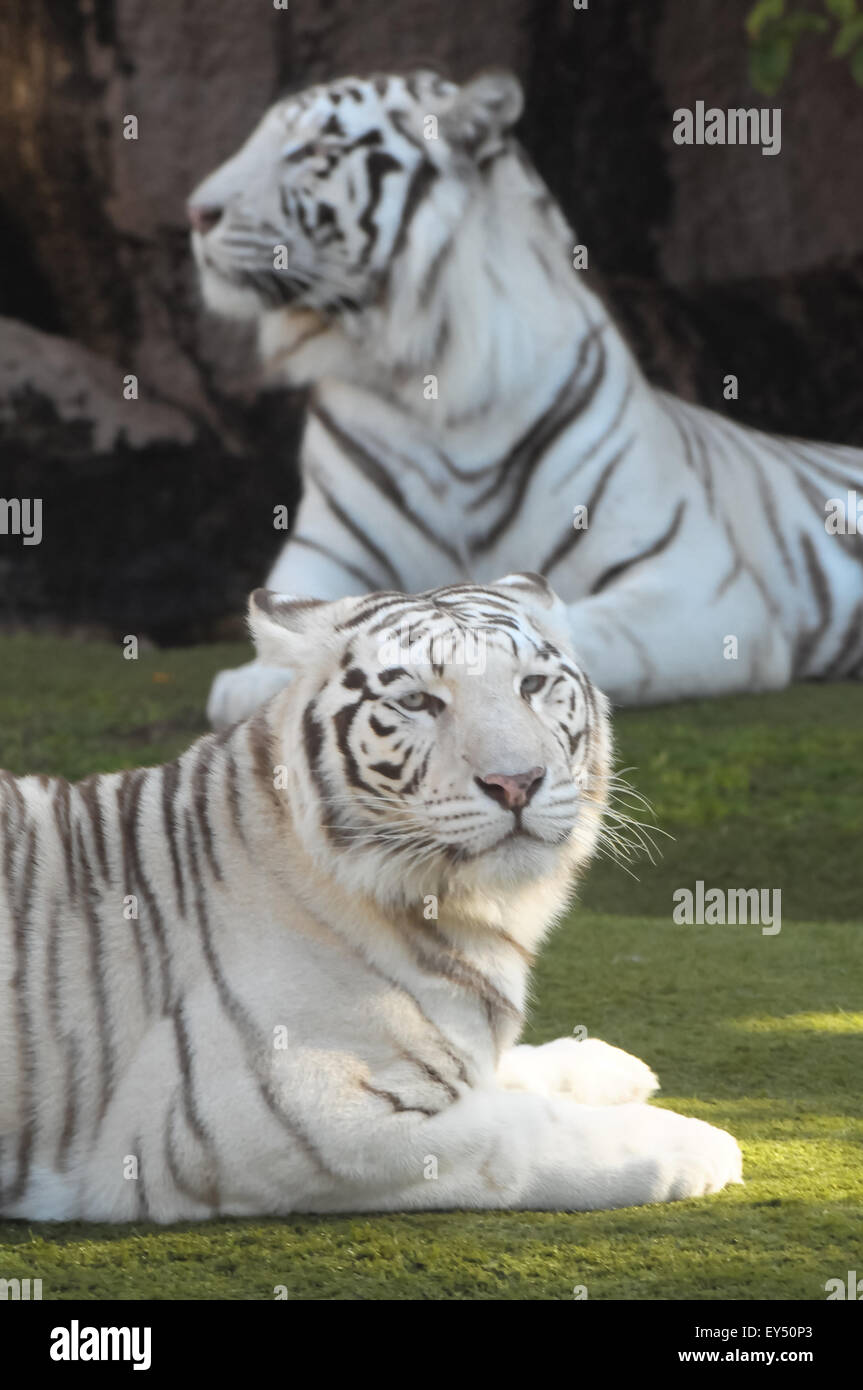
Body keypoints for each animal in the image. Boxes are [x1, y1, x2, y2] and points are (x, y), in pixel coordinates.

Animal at [0, 574, 741, 1221]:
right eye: (417, 703)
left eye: (532, 685)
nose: (516, 781)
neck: (467, 910)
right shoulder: (288, 1122)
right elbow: (522, 1132)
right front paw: (696, 1142)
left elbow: (499, 1071)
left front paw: (603, 1062)